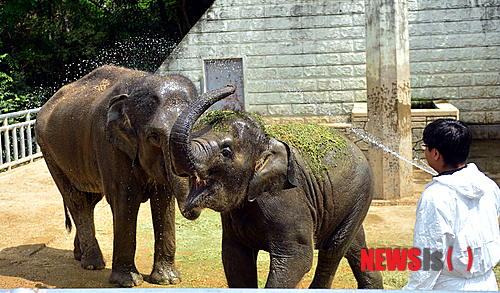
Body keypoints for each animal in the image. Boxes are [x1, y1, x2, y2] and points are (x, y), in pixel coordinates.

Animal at [35, 65, 234, 286]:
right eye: (154, 136)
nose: (230, 85)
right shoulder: (109, 143)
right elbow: (125, 199)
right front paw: (127, 282)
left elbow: (163, 200)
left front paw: (168, 280)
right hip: (49, 151)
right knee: (77, 201)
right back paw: (93, 264)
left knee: (90, 199)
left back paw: (80, 256)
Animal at [168, 89, 382, 288]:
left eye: (226, 151)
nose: (231, 87)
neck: (266, 141)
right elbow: (235, 258)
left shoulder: (285, 199)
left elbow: (297, 257)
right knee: (354, 244)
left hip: (362, 192)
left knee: (333, 248)